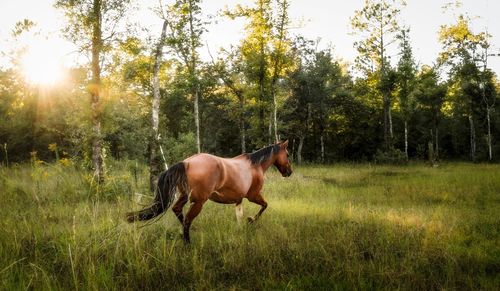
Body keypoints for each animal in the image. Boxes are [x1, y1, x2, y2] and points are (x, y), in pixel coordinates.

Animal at [125, 140, 294, 245]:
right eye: (287, 154)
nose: (289, 172)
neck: (255, 166)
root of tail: (186, 163)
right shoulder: (253, 196)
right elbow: (264, 206)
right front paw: (251, 220)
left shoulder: (239, 200)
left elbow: (239, 215)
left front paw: (241, 228)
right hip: (199, 202)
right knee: (187, 219)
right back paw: (188, 242)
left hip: (185, 197)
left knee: (177, 210)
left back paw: (184, 235)